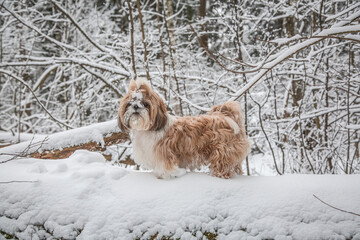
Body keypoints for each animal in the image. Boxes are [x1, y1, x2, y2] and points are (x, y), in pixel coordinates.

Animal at [118, 78, 250, 178]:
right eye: (130, 103)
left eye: (145, 104)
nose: (136, 106)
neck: (146, 130)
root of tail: (226, 117)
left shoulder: (163, 155)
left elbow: (166, 168)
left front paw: (173, 173)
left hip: (222, 153)